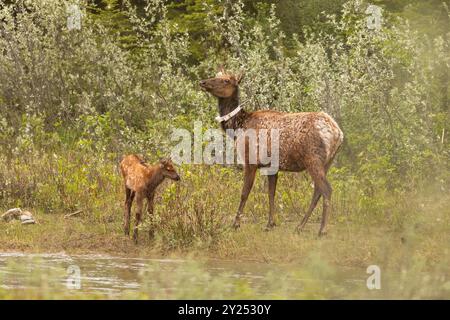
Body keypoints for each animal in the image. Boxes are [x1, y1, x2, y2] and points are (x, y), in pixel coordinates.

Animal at [199, 69, 342, 236]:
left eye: (226, 80)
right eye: (217, 75)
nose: (202, 82)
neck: (238, 127)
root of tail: (338, 133)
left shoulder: (250, 160)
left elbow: (244, 192)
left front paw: (235, 224)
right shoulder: (271, 166)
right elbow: (271, 193)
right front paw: (270, 224)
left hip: (313, 159)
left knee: (326, 189)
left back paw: (322, 229)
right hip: (328, 162)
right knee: (318, 191)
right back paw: (300, 226)